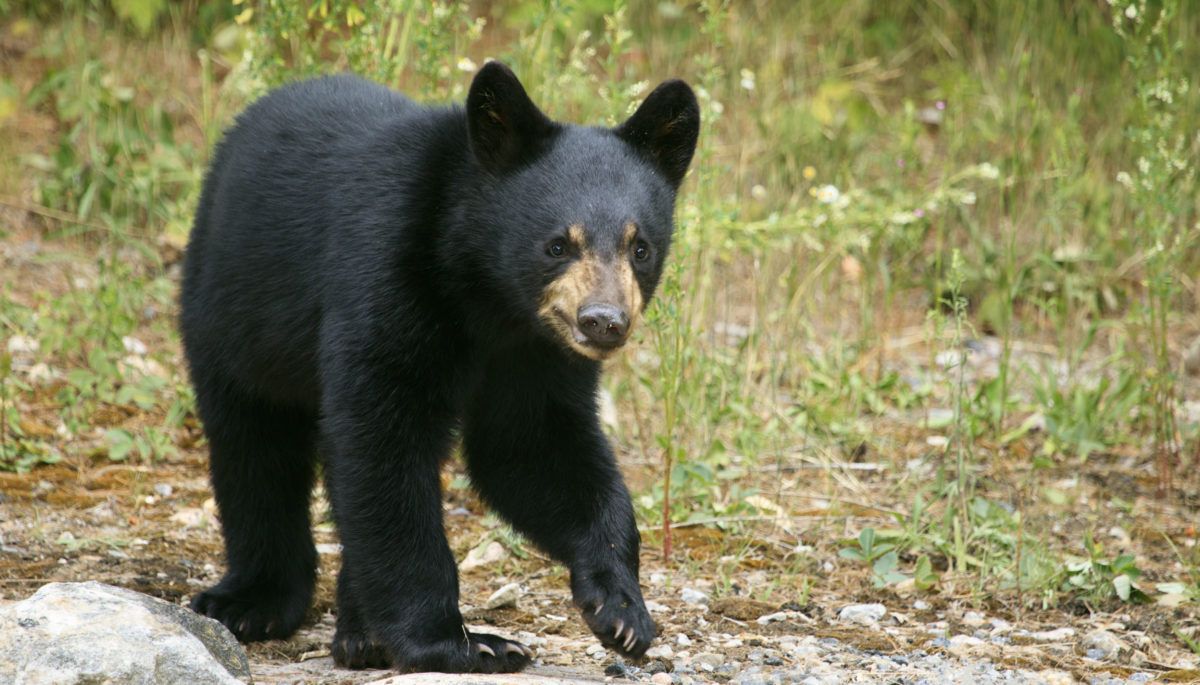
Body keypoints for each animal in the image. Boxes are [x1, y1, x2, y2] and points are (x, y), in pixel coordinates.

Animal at [179, 61, 699, 673]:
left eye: (640, 247)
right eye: (556, 245)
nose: (602, 321)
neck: (484, 293)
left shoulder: (532, 350)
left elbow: (532, 446)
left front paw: (620, 608)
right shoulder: (387, 274)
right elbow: (383, 439)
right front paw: (461, 642)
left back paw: (360, 633)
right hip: (233, 307)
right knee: (253, 441)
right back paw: (253, 603)